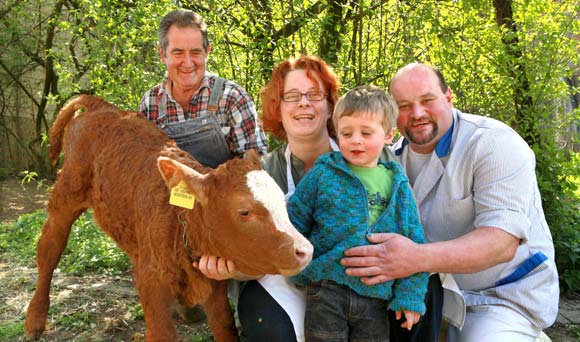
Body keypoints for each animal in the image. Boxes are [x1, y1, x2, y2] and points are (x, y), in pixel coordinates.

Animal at [23, 95, 312, 340]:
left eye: (282, 202)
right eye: (244, 211)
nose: (305, 250)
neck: (180, 221)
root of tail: (101, 105)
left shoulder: (214, 284)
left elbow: (224, 326)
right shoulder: (154, 282)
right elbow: (161, 332)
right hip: (66, 193)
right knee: (49, 248)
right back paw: (35, 320)